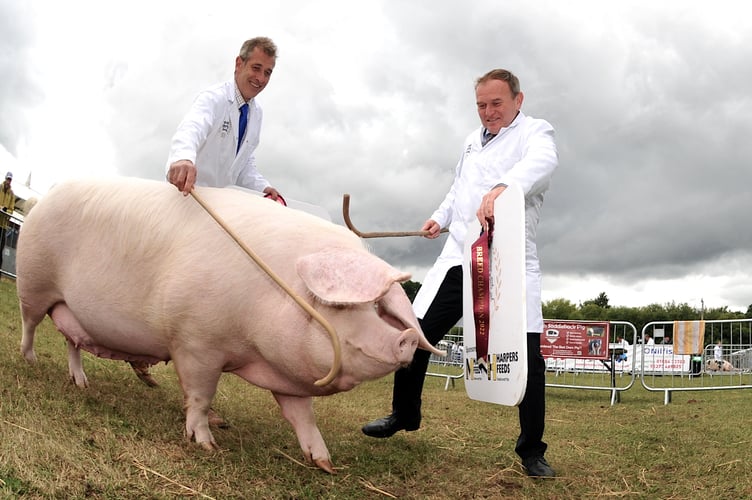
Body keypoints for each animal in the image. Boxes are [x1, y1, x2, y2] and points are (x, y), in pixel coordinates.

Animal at [16, 178, 440, 474]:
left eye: (385, 308)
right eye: (359, 306)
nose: (407, 338)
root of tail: (39, 201)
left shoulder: (287, 372)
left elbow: (303, 416)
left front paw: (325, 463)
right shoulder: (196, 342)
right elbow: (200, 396)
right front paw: (206, 445)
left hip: (68, 308)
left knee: (72, 340)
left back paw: (82, 383)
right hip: (33, 285)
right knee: (30, 324)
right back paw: (31, 361)